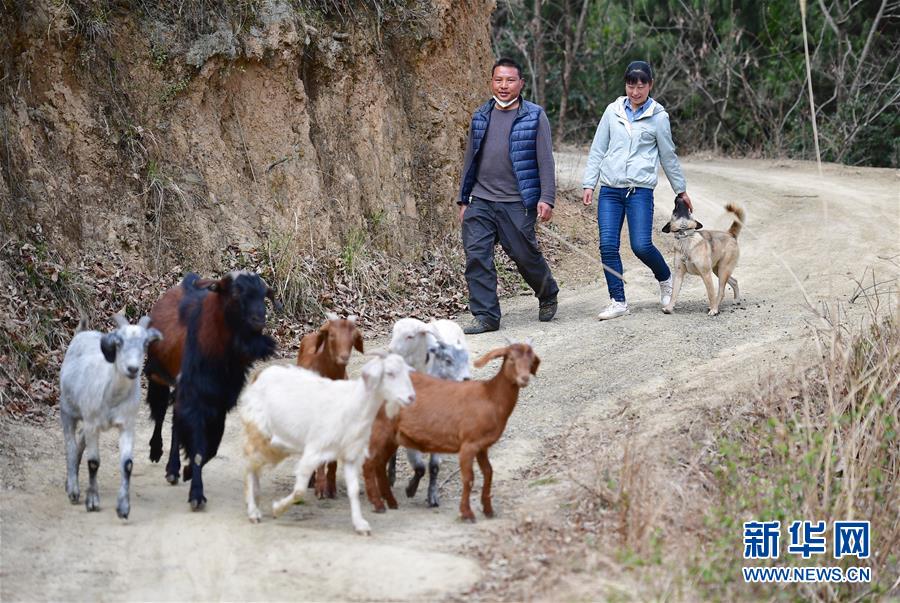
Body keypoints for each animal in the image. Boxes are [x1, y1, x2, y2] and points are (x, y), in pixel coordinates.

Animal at [60, 316, 163, 520]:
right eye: (119, 342)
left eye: (146, 343)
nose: (133, 369)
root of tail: (83, 332)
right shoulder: (92, 424)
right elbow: (93, 462)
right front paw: (92, 501)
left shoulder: (127, 425)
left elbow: (127, 465)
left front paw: (123, 507)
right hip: (67, 410)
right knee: (71, 446)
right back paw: (73, 488)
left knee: (80, 441)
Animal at [243, 354, 418, 532]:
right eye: (389, 373)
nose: (411, 397)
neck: (353, 406)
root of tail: (261, 375)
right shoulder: (314, 450)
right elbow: (299, 490)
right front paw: (277, 508)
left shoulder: (350, 456)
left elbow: (354, 490)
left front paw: (360, 524)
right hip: (260, 431)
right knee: (250, 465)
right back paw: (253, 511)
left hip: (277, 444)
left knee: (255, 465)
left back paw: (256, 500)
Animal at [298, 314, 364, 498]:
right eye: (332, 335)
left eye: (353, 337)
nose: (343, 357)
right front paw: (320, 487)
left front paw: (331, 486)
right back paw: (311, 480)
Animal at [362, 344, 536, 524]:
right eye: (511, 359)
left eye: (532, 360)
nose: (524, 378)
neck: (490, 398)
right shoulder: (468, 443)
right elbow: (468, 478)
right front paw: (467, 513)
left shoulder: (482, 446)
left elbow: (488, 472)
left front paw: (488, 510)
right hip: (379, 428)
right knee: (368, 463)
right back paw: (378, 504)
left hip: (392, 436)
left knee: (379, 463)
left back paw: (391, 502)